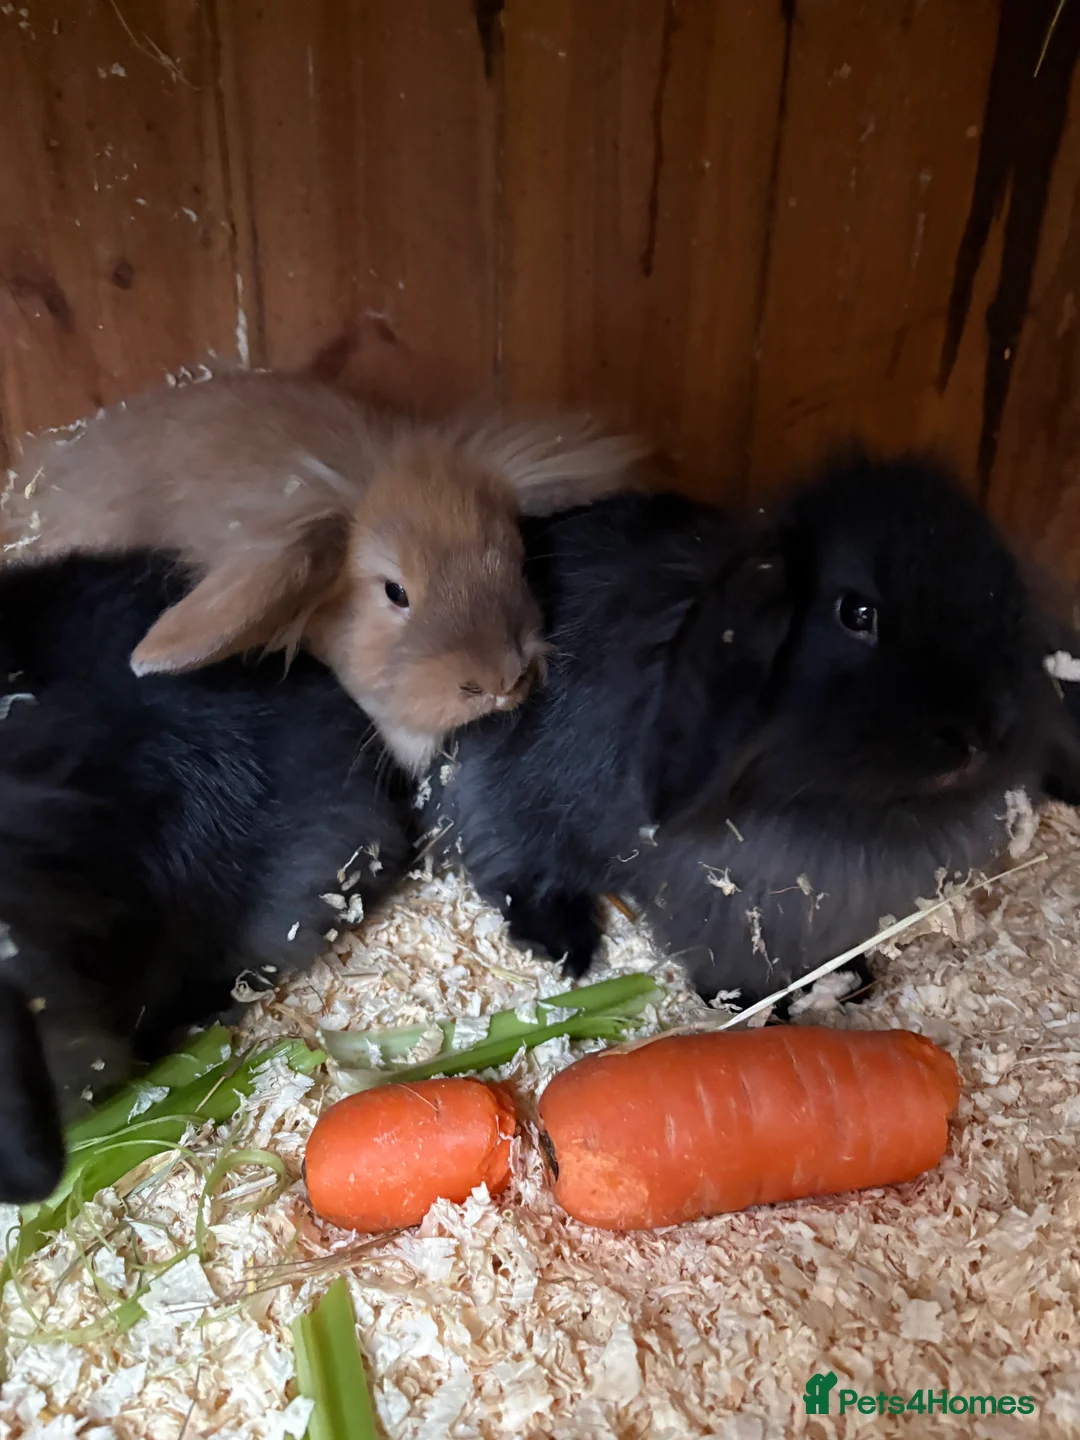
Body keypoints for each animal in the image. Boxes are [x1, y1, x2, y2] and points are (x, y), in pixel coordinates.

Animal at [425, 450, 1080, 1008]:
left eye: (1004, 593)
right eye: (856, 612)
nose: (982, 735)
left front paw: (849, 982)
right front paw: (753, 1005)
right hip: (500, 807)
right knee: (509, 870)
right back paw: (566, 946)